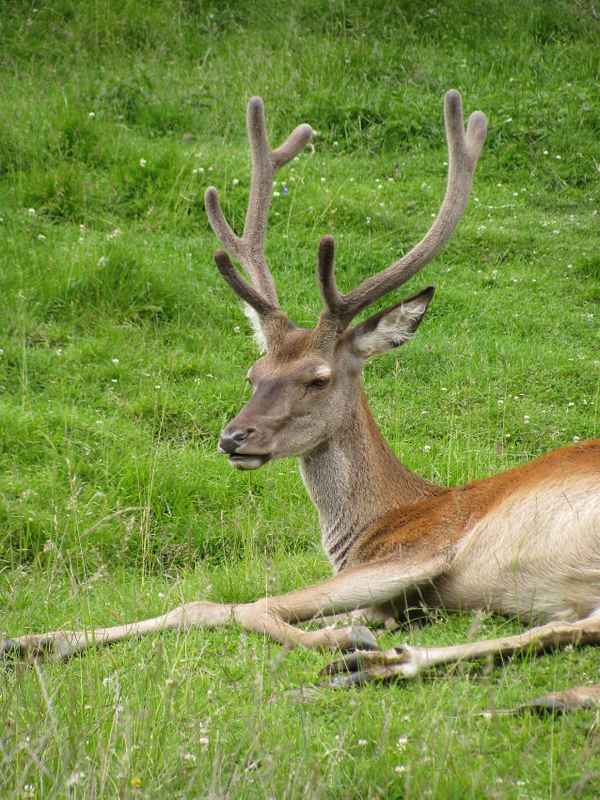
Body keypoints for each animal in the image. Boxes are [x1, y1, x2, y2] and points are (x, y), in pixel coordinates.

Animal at [3, 91, 600, 698]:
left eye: (318, 377)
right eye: (253, 372)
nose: (232, 437)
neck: (377, 523)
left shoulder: (422, 548)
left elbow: (225, 604)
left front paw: (341, 635)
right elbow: (203, 607)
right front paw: (31, 640)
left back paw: (366, 656)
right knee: (572, 629)